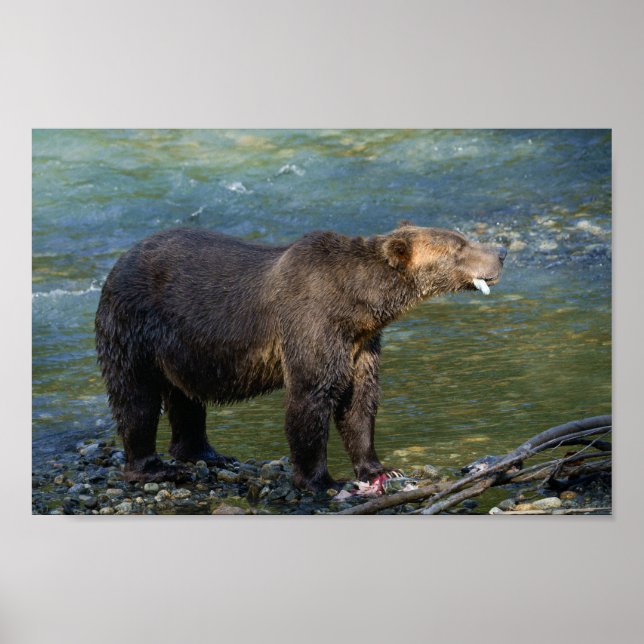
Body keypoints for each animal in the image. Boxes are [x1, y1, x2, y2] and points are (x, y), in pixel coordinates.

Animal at [95, 222, 506, 491]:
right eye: (458, 247)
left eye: (463, 237)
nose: (501, 252)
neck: (357, 302)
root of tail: (119, 260)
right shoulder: (312, 323)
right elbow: (311, 397)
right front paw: (321, 480)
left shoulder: (360, 343)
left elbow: (360, 402)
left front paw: (379, 469)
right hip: (134, 325)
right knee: (136, 397)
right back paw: (150, 467)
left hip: (183, 348)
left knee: (186, 398)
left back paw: (204, 453)